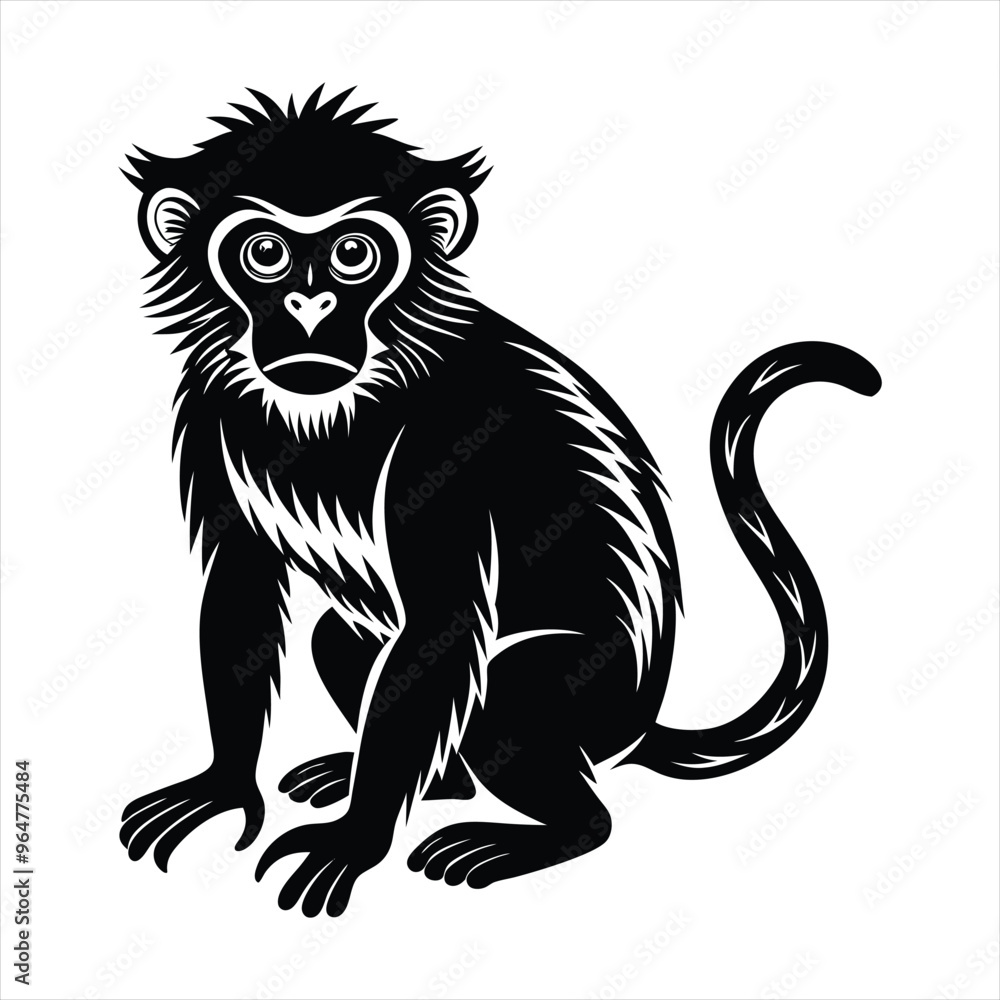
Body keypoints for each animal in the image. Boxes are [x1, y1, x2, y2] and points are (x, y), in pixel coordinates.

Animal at [119, 86, 881, 917]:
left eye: (354, 254)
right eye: (264, 253)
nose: (309, 304)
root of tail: (640, 722)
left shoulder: (449, 436)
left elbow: (445, 622)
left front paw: (356, 840)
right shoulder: (209, 406)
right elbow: (244, 589)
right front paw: (226, 785)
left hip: (586, 694)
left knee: (511, 695)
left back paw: (544, 831)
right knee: (343, 644)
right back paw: (408, 781)